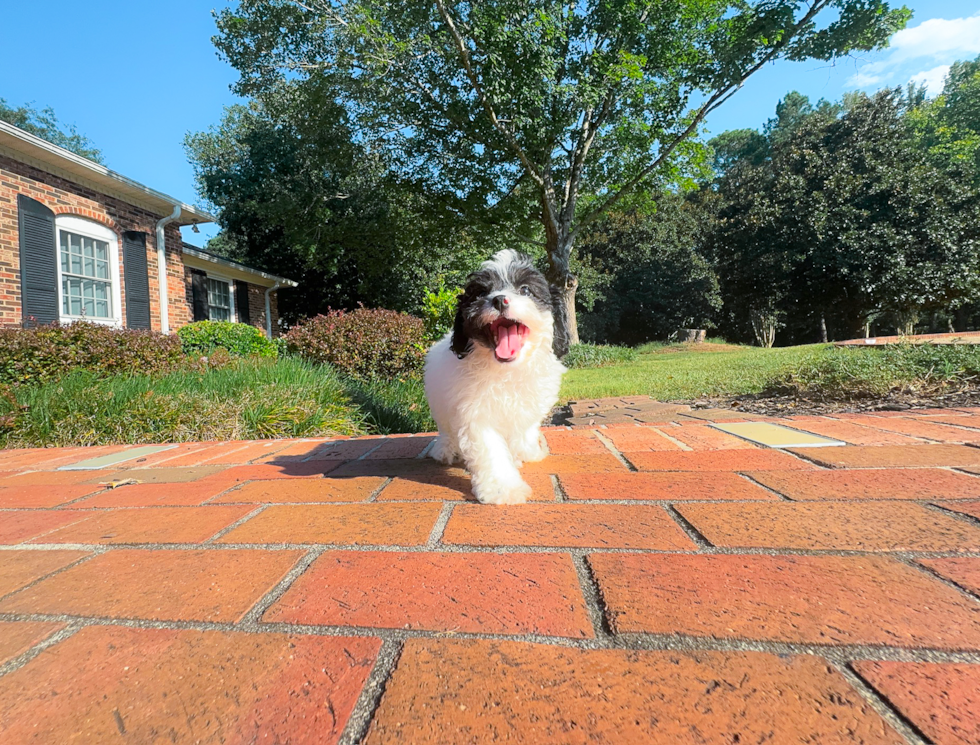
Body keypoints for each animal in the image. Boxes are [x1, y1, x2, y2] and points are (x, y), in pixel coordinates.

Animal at [424, 251, 568, 506]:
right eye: (481, 293)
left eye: (526, 290)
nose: (500, 300)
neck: (507, 371)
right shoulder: (475, 414)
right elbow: (491, 451)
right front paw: (504, 488)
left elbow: (525, 429)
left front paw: (526, 452)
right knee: (446, 430)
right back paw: (445, 450)